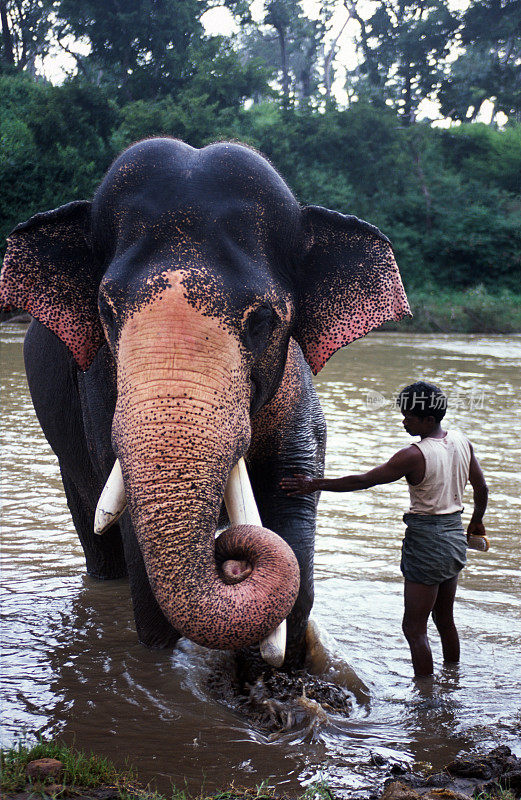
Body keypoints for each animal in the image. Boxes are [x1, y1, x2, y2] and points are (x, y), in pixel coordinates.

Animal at [0, 139, 408, 676]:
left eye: (262, 319)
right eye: (106, 309)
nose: (231, 559)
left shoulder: (295, 391)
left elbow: (292, 502)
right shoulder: (100, 389)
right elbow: (146, 586)